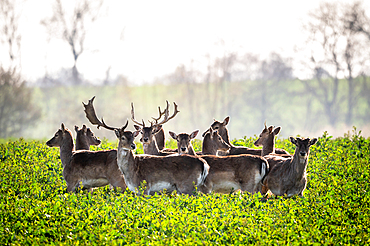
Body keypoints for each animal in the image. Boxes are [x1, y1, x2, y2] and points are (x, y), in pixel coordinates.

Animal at [82, 97, 210, 195]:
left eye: (132, 137)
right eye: (122, 137)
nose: (133, 145)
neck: (131, 171)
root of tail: (203, 164)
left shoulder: (144, 188)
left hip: (187, 187)